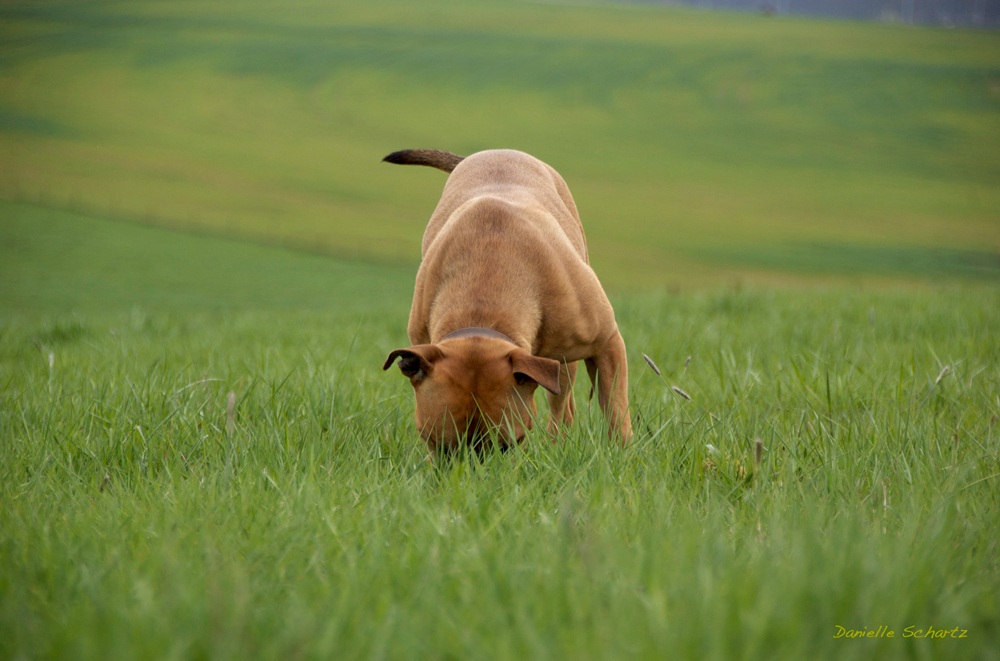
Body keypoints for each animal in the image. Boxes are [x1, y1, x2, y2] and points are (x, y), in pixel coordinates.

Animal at [382, 148, 632, 452]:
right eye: (435, 444)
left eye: (509, 445)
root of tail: (496, 151)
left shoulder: (608, 344)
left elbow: (616, 411)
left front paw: (623, 455)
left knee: (562, 403)